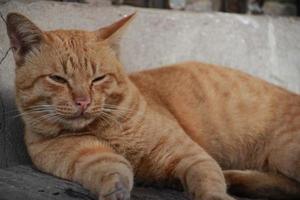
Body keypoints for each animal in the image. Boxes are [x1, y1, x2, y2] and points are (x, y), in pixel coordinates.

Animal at [5, 12, 300, 200]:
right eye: (58, 79)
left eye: (98, 78)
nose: (83, 101)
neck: (104, 128)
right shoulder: (90, 158)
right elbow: (114, 171)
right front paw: (115, 191)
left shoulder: (190, 154)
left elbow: (208, 181)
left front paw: (218, 194)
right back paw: (237, 180)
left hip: (286, 152)